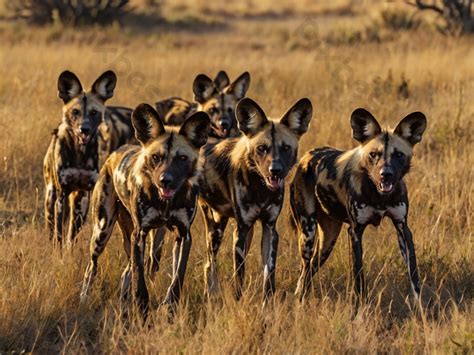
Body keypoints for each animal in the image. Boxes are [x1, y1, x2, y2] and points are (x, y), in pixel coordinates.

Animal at [43, 69, 118, 248]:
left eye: (94, 112)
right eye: (75, 112)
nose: (84, 129)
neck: (80, 152)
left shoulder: (83, 194)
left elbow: (71, 236)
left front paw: (68, 252)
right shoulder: (62, 194)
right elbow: (59, 235)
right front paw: (57, 253)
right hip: (50, 197)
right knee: (51, 227)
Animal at [80, 103, 210, 318]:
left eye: (182, 158)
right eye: (156, 157)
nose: (165, 180)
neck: (166, 203)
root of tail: (114, 153)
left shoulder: (183, 235)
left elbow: (177, 278)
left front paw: (169, 307)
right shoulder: (139, 235)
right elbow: (140, 284)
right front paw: (143, 313)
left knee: (126, 273)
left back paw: (123, 305)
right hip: (102, 232)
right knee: (92, 267)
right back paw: (85, 298)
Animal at [198, 96, 312, 300]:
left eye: (285, 148)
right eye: (261, 148)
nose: (275, 170)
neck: (261, 189)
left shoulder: (269, 229)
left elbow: (269, 274)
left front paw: (268, 303)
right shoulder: (241, 232)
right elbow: (239, 276)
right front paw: (238, 301)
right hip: (215, 229)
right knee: (210, 262)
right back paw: (211, 293)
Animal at [290, 108, 428, 304]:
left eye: (398, 155)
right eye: (373, 155)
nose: (385, 174)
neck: (380, 196)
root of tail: (306, 157)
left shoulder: (402, 228)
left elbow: (414, 275)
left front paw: (420, 308)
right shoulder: (355, 231)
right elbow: (358, 277)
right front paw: (360, 309)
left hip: (328, 240)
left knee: (309, 269)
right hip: (308, 233)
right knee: (304, 268)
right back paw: (300, 301)